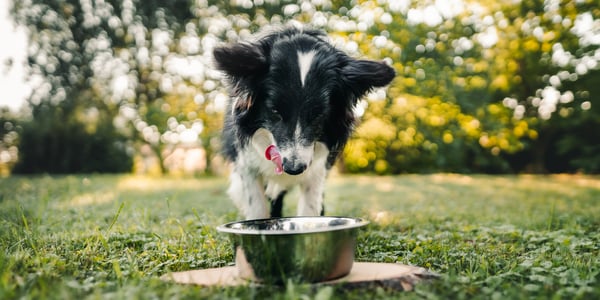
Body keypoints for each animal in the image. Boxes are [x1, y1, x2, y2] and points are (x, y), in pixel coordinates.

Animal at [213, 27, 396, 219]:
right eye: (275, 111)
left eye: (318, 114)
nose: (293, 169)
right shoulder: (247, 165)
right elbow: (256, 207)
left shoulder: (317, 169)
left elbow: (310, 207)